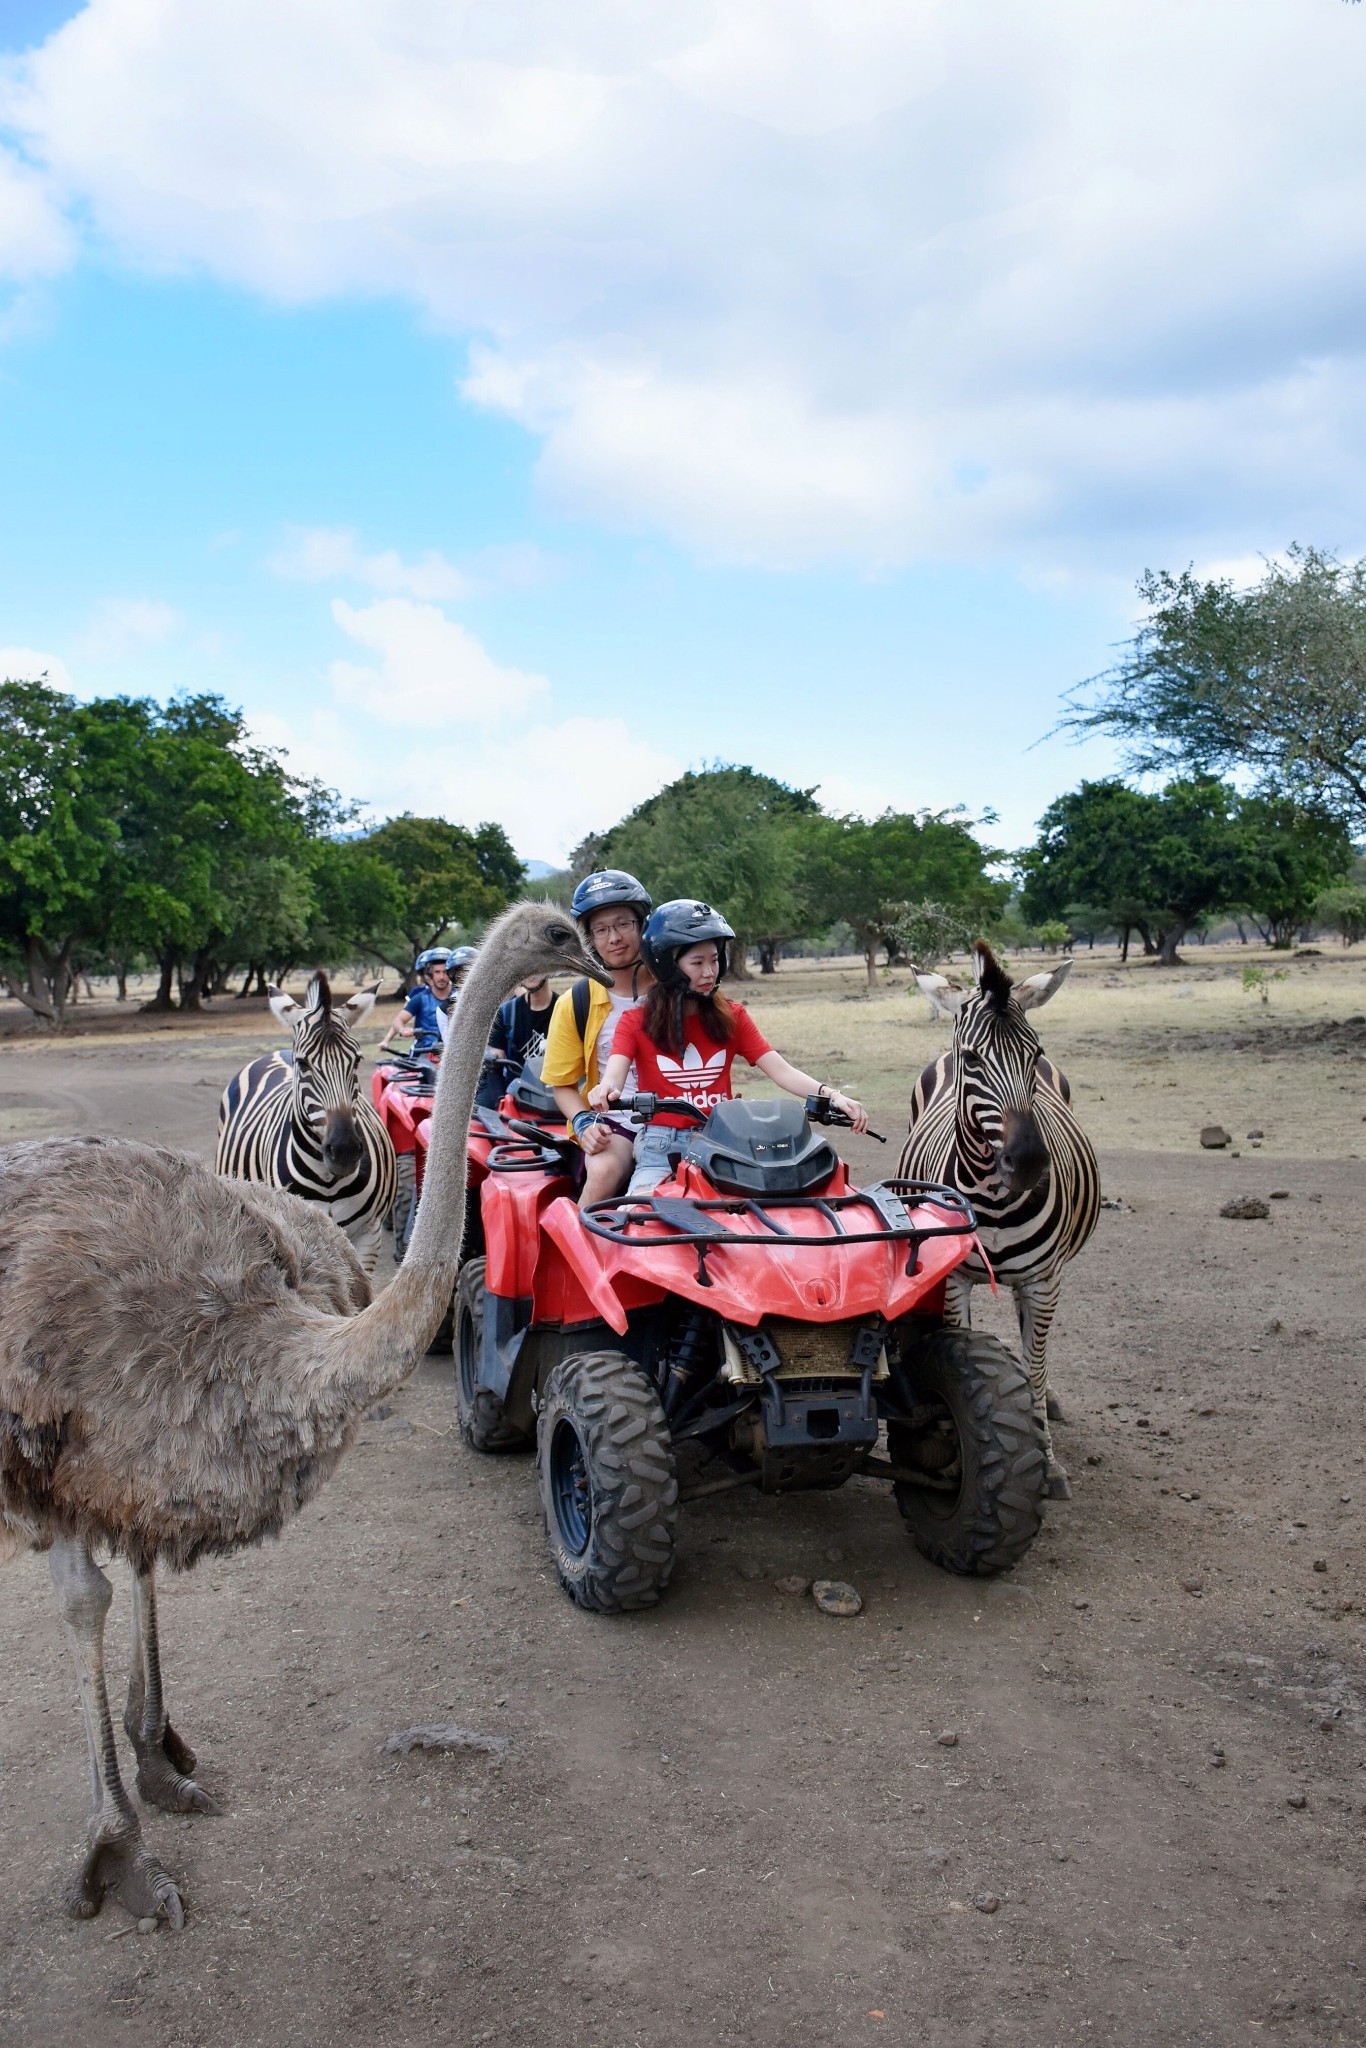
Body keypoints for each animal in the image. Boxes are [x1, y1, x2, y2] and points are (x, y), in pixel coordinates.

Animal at [214, 970, 395, 1269]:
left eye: (357, 1061)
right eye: (303, 1063)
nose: (344, 1151)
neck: (328, 1181)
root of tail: (277, 1052)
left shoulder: (370, 1234)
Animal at [901, 942, 1105, 1507]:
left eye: (1034, 1055)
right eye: (972, 1060)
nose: (1030, 1163)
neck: (992, 1204)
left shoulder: (1042, 1280)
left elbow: (1033, 1370)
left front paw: (1048, 1463)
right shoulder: (952, 1280)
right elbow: (960, 1352)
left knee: (1035, 1347)